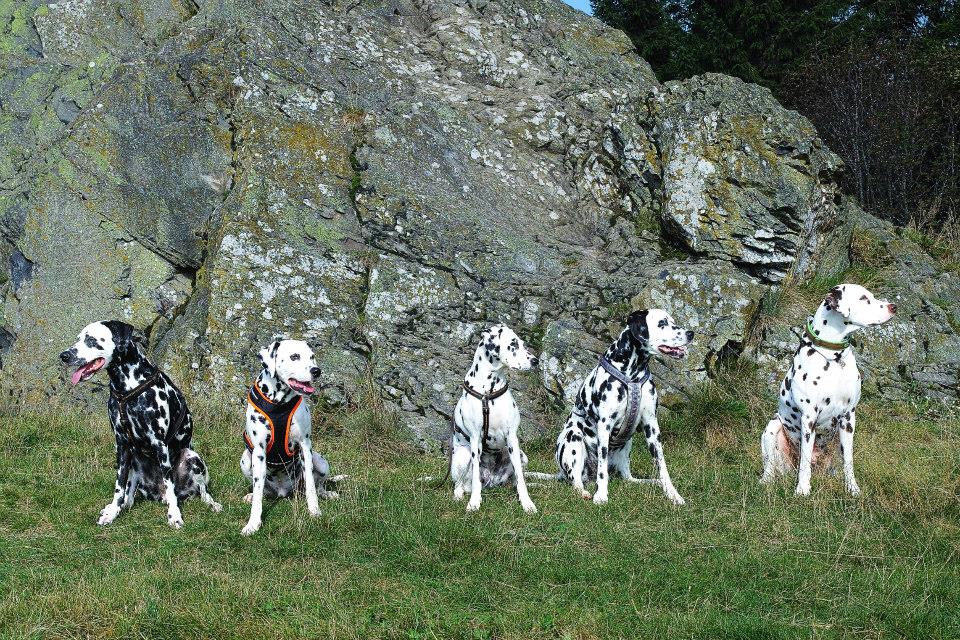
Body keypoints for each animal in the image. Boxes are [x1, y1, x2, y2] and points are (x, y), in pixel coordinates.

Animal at [59, 321, 221, 528]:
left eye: (92, 340)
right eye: (78, 338)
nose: (64, 355)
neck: (127, 387)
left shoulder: (160, 444)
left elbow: (170, 485)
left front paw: (174, 515)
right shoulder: (121, 445)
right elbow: (119, 486)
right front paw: (112, 511)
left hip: (192, 457)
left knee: (202, 490)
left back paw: (211, 503)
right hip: (134, 461)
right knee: (129, 495)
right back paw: (122, 505)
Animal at [240, 339, 341, 535]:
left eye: (312, 356)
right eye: (295, 356)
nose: (316, 371)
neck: (279, 404)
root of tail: (282, 491)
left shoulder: (305, 447)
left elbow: (311, 485)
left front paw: (314, 511)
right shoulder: (258, 452)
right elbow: (258, 491)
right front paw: (253, 523)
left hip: (320, 461)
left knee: (319, 485)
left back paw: (326, 493)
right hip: (245, 459)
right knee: (261, 490)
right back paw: (252, 495)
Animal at [448, 324, 539, 513]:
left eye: (523, 343)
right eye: (513, 344)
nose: (536, 361)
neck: (488, 392)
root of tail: (491, 480)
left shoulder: (512, 438)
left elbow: (521, 478)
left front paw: (527, 503)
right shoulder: (475, 439)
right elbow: (475, 477)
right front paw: (474, 502)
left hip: (522, 455)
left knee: (515, 480)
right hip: (462, 455)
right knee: (460, 484)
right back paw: (459, 495)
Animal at [533, 310, 693, 506]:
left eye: (673, 321)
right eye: (662, 323)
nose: (690, 334)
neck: (632, 375)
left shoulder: (652, 426)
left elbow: (662, 465)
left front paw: (672, 494)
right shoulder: (604, 425)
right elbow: (602, 470)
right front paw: (601, 495)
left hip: (627, 445)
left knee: (628, 478)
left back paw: (650, 481)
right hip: (573, 438)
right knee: (576, 481)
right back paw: (584, 491)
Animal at [760, 283, 896, 496]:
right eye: (864, 298)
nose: (893, 307)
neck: (834, 358)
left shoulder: (848, 417)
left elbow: (848, 460)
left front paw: (852, 489)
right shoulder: (809, 418)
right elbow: (805, 460)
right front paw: (802, 490)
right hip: (772, 427)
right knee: (770, 466)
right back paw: (766, 481)